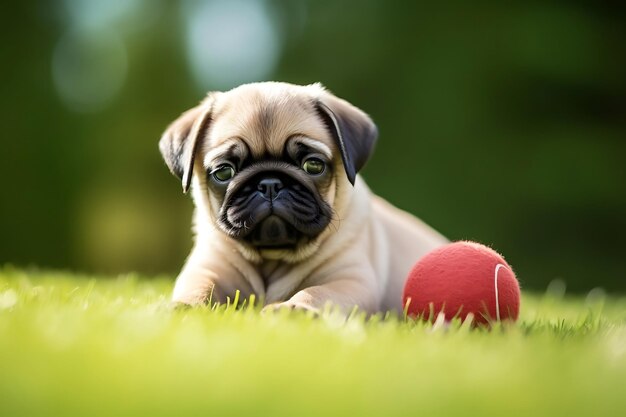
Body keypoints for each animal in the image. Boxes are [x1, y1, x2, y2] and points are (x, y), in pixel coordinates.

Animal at [158, 81, 446, 314]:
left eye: (313, 166)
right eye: (224, 172)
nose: (269, 183)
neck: (273, 258)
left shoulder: (350, 280)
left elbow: (317, 292)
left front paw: (293, 309)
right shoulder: (207, 269)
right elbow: (199, 288)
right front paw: (182, 306)